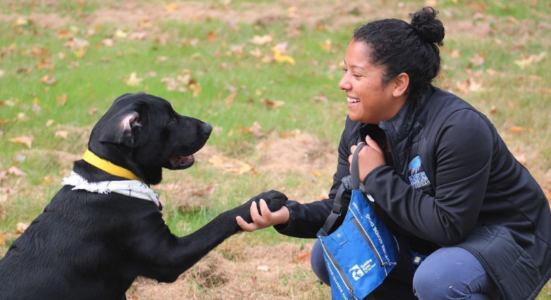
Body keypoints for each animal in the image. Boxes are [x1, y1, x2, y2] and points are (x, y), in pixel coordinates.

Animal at [0, 92, 286, 298]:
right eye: (170, 119)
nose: (209, 126)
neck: (112, 178)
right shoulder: (168, 257)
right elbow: (220, 221)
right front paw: (265, 199)